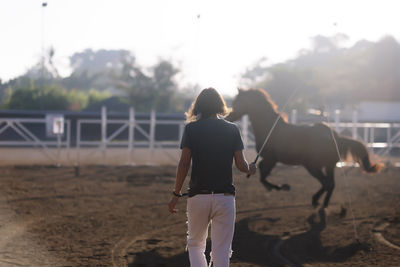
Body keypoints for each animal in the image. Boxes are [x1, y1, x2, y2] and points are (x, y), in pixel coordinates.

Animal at [227, 89, 382, 208]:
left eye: (238, 101)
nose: (229, 116)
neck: (270, 128)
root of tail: (335, 137)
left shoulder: (271, 159)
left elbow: (262, 175)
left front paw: (280, 187)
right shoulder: (269, 159)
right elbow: (261, 173)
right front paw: (275, 187)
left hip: (313, 166)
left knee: (326, 183)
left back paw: (316, 201)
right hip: (328, 166)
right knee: (330, 184)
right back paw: (324, 203)